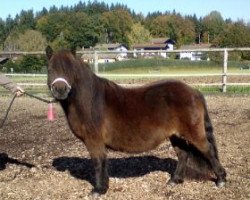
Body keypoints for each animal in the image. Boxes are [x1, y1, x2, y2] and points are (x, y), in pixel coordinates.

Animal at [45, 46, 227, 195]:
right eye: (50, 68)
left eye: (71, 70)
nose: (60, 90)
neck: (89, 102)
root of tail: (193, 91)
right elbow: (102, 163)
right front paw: (103, 187)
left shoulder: (94, 141)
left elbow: (97, 163)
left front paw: (98, 190)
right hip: (175, 135)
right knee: (183, 155)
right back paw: (174, 181)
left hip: (194, 134)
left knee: (208, 151)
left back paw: (221, 180)